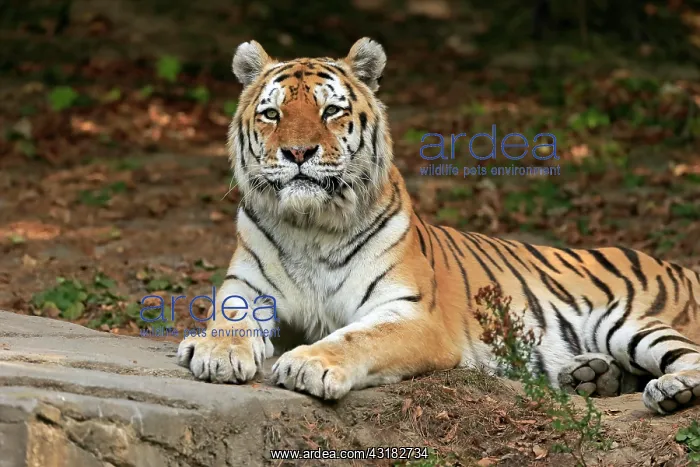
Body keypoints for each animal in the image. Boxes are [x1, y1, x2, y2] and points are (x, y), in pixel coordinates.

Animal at [177, 37, 700, 415]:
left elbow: (357, 336)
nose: (299, 152)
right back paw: (591, 375)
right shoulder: (246, 289)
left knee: (690, 356)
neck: (311, 227)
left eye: (331, 110)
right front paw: (215, 352)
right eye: (272, 113)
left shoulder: (411, 314)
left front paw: (309, 363)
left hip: (627, 320)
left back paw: (669, 391)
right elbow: (227, 319)